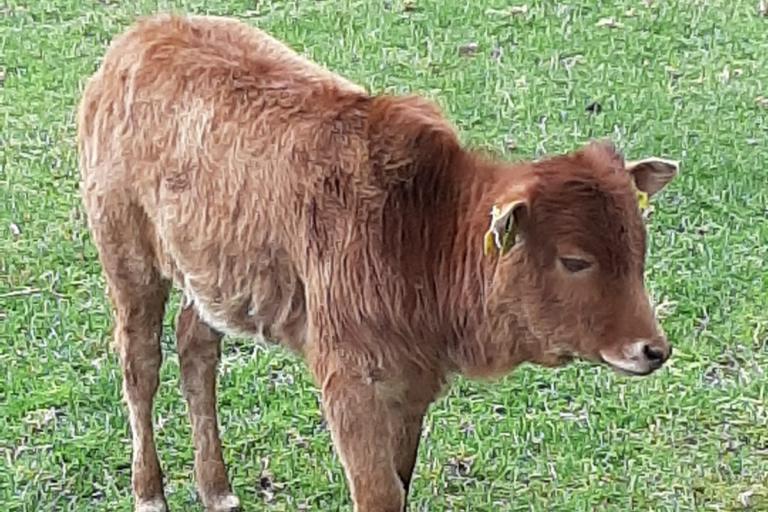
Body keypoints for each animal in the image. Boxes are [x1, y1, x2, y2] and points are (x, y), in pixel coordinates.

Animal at [76, 12, 680, 512]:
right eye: (575, 261)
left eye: (639, 247)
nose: (653, 349)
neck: (421, 230)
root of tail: (136, 37)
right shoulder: (348, 379)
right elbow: (380, 493)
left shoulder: (413, 383)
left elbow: (401, 482)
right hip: (127, 256)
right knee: (140, 365)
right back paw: (150, 493)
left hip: (212, 275)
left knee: (196, 346)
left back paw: (217, 489)